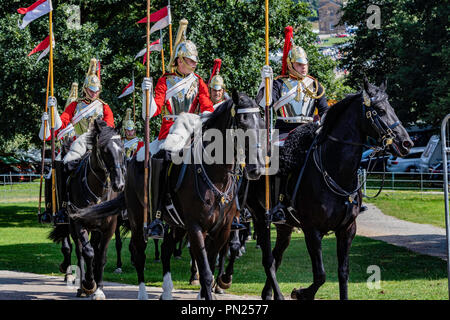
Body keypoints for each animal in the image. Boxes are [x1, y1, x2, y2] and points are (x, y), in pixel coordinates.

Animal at [49, 120, 125, 300]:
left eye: (122, 149)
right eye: (105, 150)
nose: (119, 184)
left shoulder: (109, 228)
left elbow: (101, 256)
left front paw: (99, 289)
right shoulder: (78, 224)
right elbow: (88, 253)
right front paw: (89, 285)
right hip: (72, 227)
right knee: (79, 251)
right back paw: (81, 285)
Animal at [244, 78, 414, 300]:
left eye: (392, 108)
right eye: (379, 110)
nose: (406, 143)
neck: (336, 170)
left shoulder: (347, 229)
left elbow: (343, 273)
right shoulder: (312, 231)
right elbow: (321, 275)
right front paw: (300, 292)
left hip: (285, 226)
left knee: (276, 256)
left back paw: (267, 294)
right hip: (260, 218)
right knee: (268, 260)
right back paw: (278, 294)